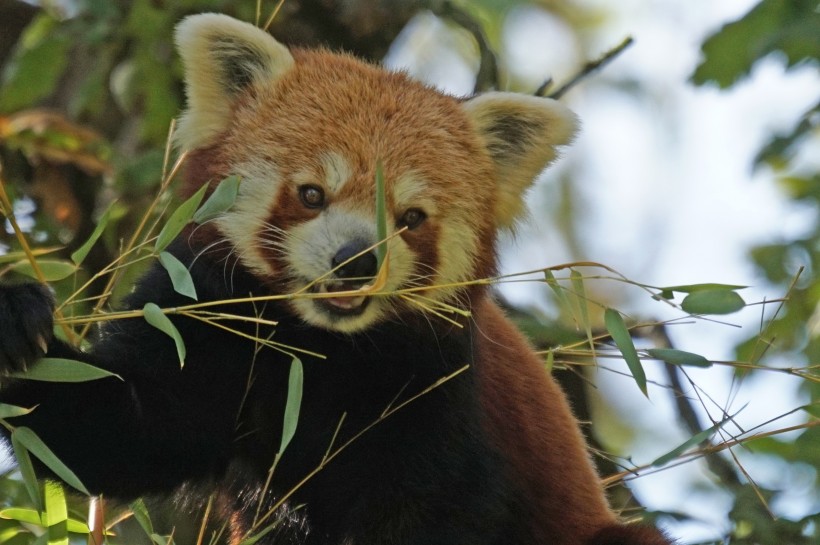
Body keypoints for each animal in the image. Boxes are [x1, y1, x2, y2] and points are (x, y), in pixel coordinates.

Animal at [0, 12, 672, 544]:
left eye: (410, 218)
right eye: (311, 194)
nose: (356, 260)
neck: (316, 347)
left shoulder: (438, 391)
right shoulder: (201, 315)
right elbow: (115, 432)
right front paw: (15, 316)